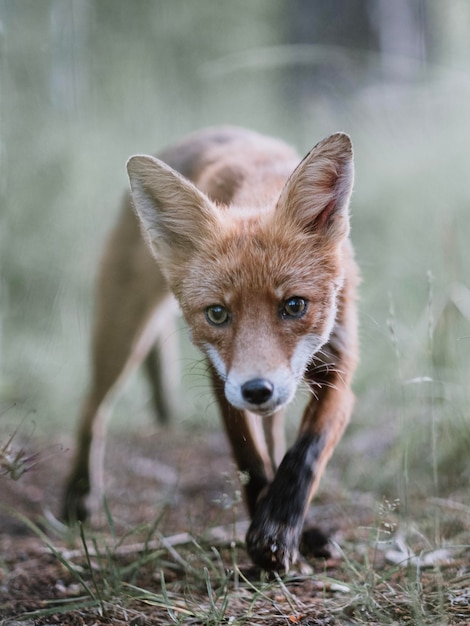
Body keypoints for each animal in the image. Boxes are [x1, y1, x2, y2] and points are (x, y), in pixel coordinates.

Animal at [61, 127, 356, 572]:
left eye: (294, 306)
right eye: (217, 314)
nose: (257, 390)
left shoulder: (339, 369)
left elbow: (303, 454)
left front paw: (280, 529)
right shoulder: (223, 379)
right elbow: (251, 460)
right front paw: (266, 540)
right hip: (122, 335)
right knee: (91, 409)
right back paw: (79, 493)